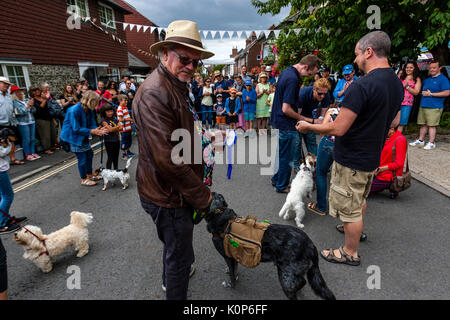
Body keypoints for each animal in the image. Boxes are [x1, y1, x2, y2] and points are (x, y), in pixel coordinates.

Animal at [206, 192, 336, 300]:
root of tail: (310, 244)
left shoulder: (227, 257)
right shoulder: (233, 256)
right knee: (301, 282)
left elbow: (233, 277)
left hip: (286, 278)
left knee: (299, 285)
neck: (221, 215)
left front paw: (231, 285)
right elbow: (234, 270)